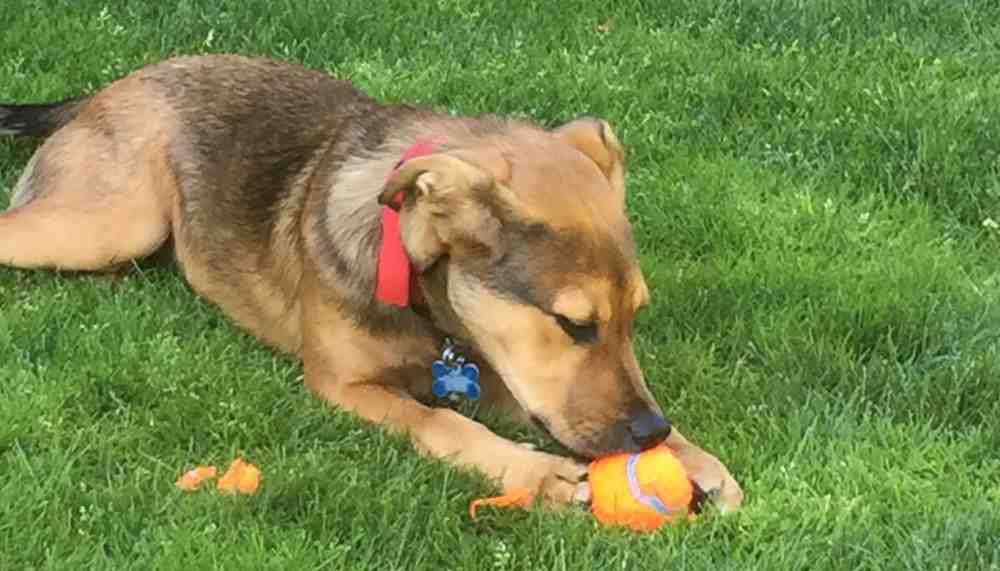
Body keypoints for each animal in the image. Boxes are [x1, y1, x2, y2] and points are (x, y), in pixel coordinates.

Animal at [0, 55, 744, 512]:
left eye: (635, 315)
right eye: (573, 324)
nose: (650, 432)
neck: (423, 296)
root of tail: (107, 88)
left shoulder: (496, 366)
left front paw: (693, 456)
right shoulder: (343, 385)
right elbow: (439, 420)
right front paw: (538, 474)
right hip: (110, 222)